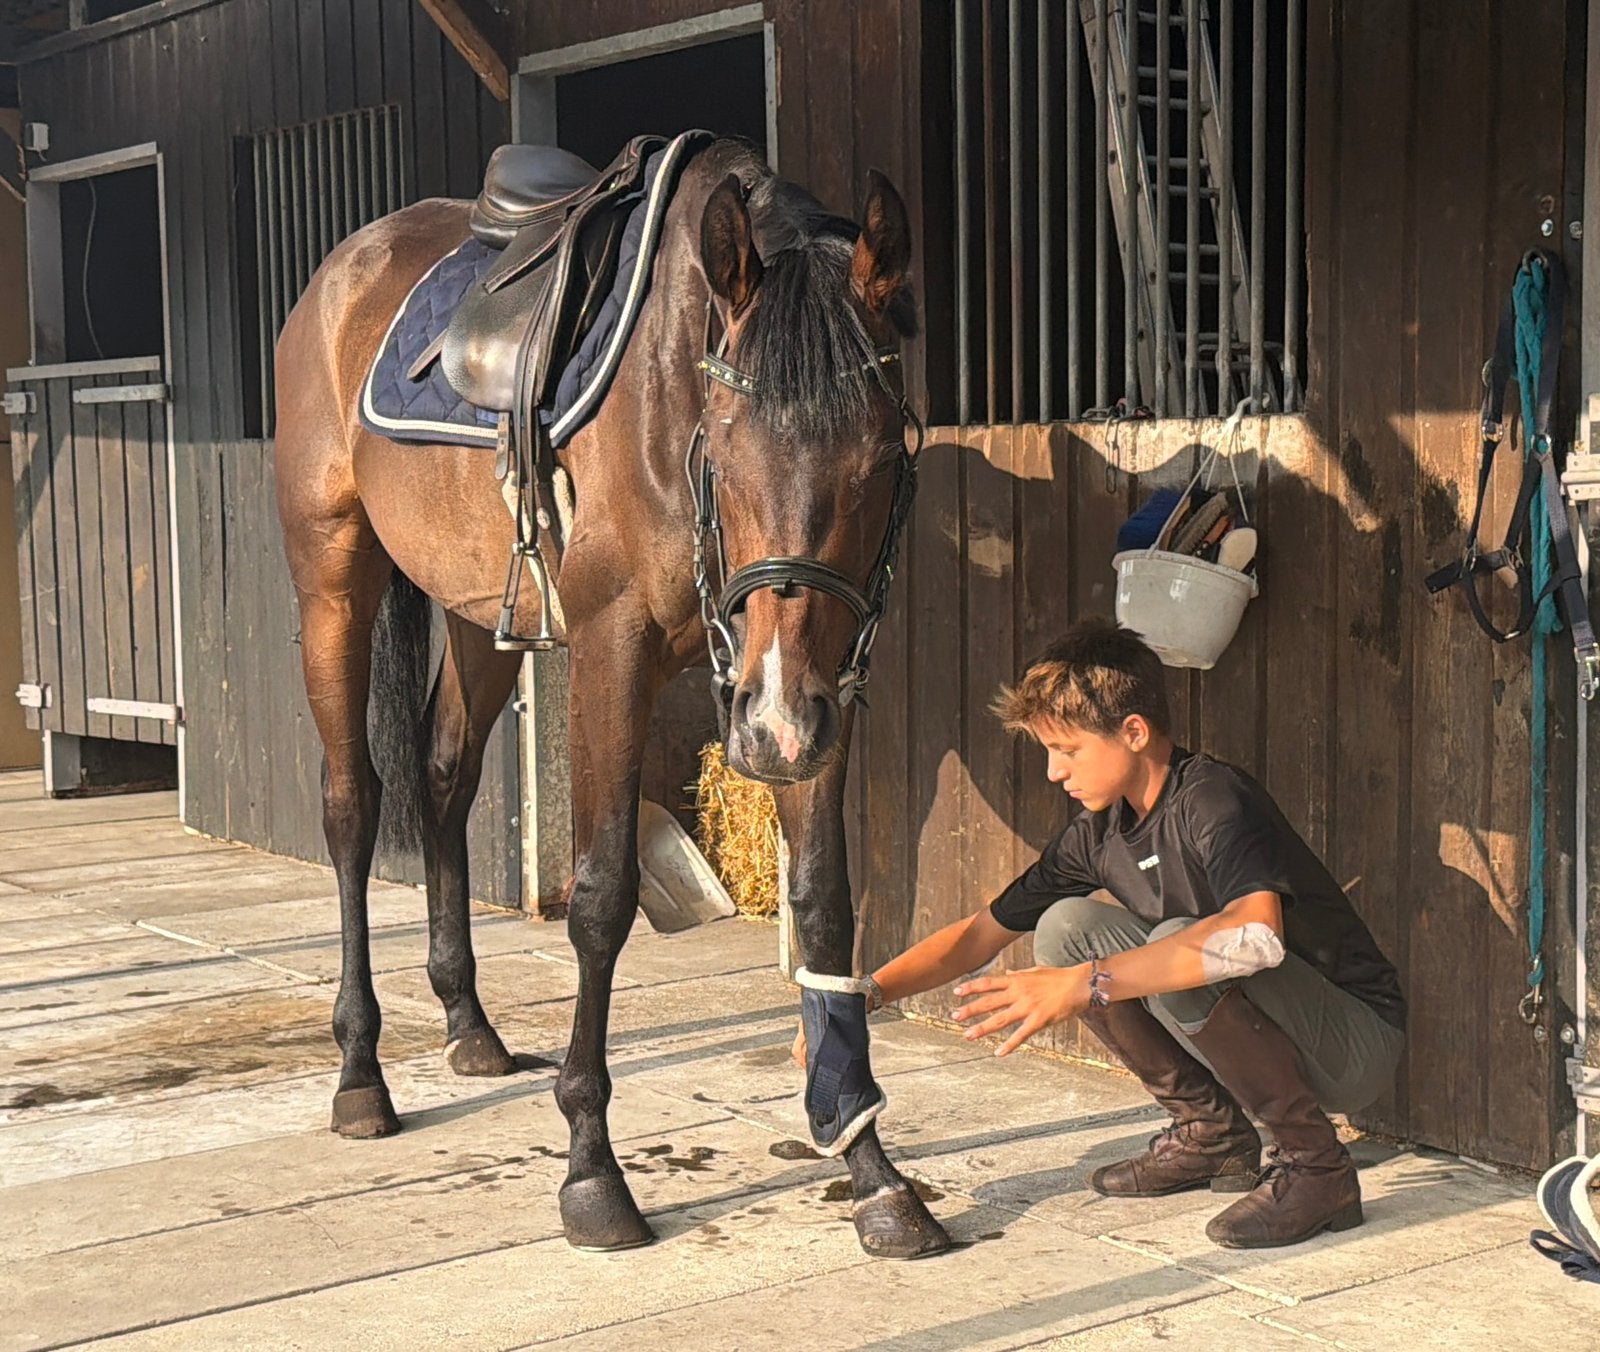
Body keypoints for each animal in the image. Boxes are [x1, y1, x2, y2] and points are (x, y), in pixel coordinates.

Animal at [273, 135, 950, 1260]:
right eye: (724, 442)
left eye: (881, 456)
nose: (773, 724)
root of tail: (339, 273)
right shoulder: (614, 653)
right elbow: (598, 901)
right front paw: (592, 1172)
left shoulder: (818, 689)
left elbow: (822, 902)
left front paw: (871, 1165)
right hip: (334, 575)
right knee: (352, 807)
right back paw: (360, 1073)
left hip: (479, 610)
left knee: (446, 778)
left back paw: (468, 1027)